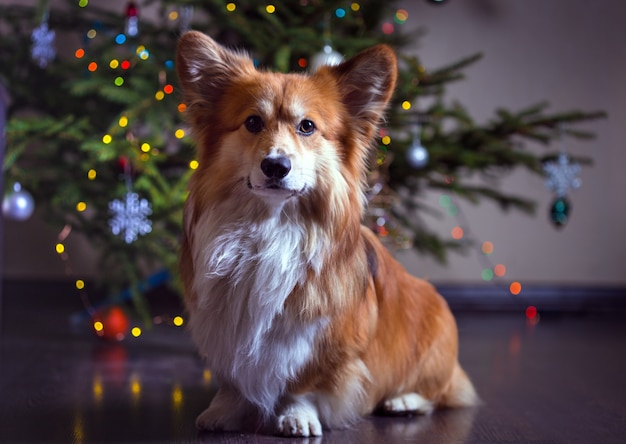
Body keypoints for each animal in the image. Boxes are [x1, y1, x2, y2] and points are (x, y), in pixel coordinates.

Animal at [173, 30, 476, 438]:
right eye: (252, 122)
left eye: (307, 126)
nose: (275, 166)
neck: (271, 229)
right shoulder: (225, 326)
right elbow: (234, 382)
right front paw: (224, 411)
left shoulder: (322, 344)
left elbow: (304, 386)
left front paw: (297, 416)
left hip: (433, 348)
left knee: (440, 392)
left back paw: (403, 401)